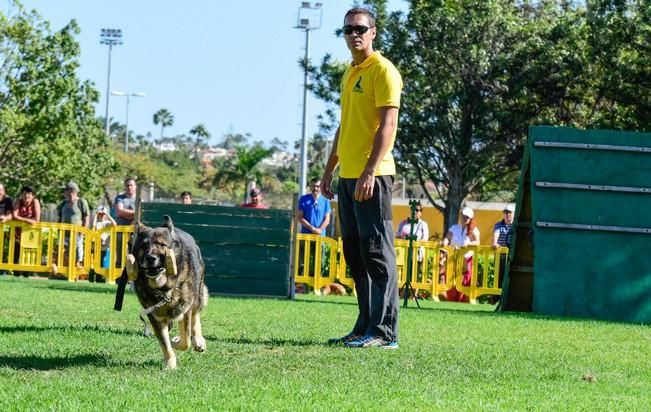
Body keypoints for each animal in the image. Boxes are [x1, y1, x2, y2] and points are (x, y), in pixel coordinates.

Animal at [126, 216, 209, 370]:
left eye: (162, 244)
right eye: (144, 246)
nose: (150, 258)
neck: (163, 287)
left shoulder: (185, 309)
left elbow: (186, 341)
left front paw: (177, 342)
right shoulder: (155, 316)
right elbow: (165, 343)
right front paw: (170, 364)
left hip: (198, 294)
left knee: (195, 316)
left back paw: (198, 341)